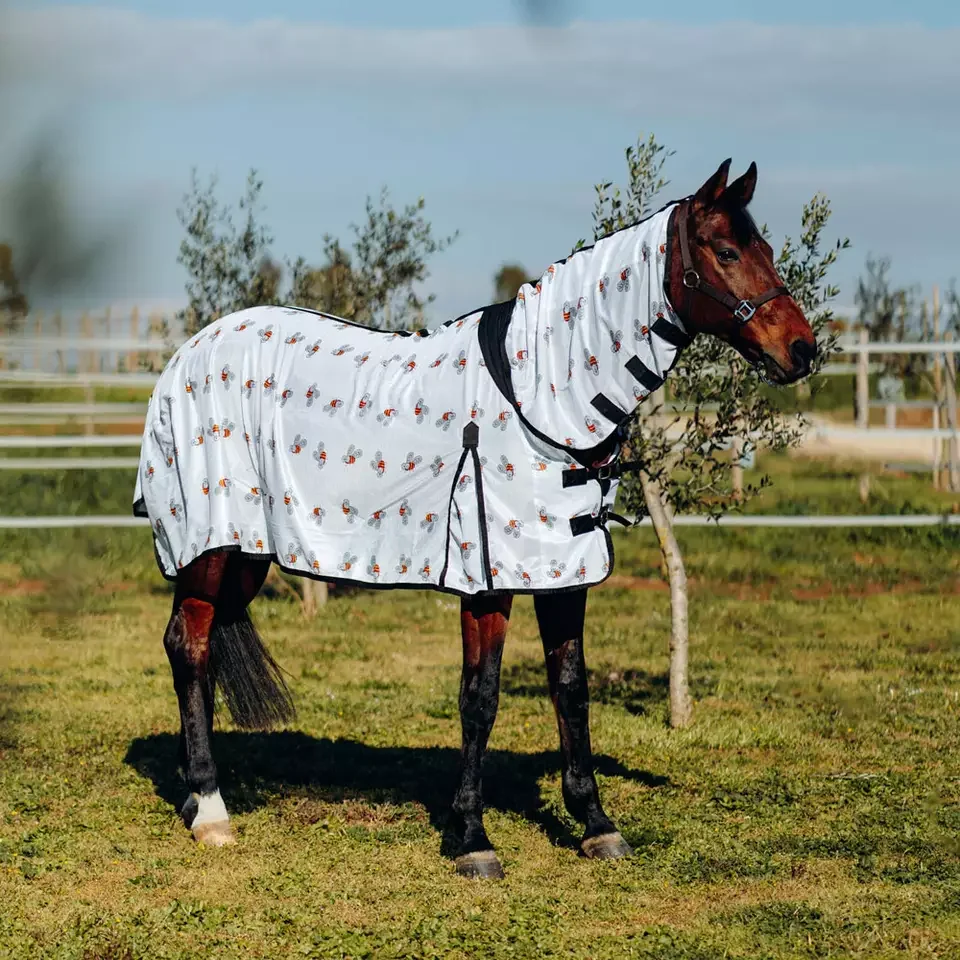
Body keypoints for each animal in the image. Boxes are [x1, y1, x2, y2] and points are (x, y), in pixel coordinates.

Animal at [135, 159, 816, 879]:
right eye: (728, 251)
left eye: (768, 249)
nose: (804, 349)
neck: (541, 397)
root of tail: (186, 354)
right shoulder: (488, 580)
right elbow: (480, 696)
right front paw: (471, 837)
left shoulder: (561, 569)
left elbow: (570, 688)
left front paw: (596, 824)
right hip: (210, 546)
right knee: (190, 646)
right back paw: (212, 810)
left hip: (245, 553)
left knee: (197, 648)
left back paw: (195, 793)